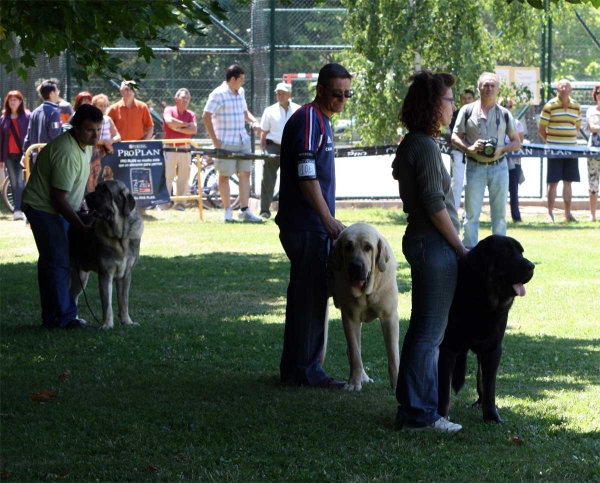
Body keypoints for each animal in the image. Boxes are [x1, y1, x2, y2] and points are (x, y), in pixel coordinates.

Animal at [69, 180, 144, 330]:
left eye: (105, 190)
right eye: (96, 188)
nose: (86, 196)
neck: (120, 237)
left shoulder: (126, 275)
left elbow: (124, 301)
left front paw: (127, 322)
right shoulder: (105, 274)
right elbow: (107, 304)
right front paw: (107, 325)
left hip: (81, 278)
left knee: (73, 296)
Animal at [328, 224, 398, 394]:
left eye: (368, 247)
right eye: (348, 246)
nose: (356, 266)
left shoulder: (389, 317)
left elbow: (393, 354)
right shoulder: (350, 318)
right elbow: (354, 353)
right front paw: (354, 383)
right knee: (355, 352)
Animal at [436, 234, 536, 424]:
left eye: (521, 252)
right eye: (506, 251)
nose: (531, 265)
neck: (482, 303)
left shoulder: (492, 349)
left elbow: (489, 386)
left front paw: (491, 416)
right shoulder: (447, 348)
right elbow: (444, 390)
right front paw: (443, 416)